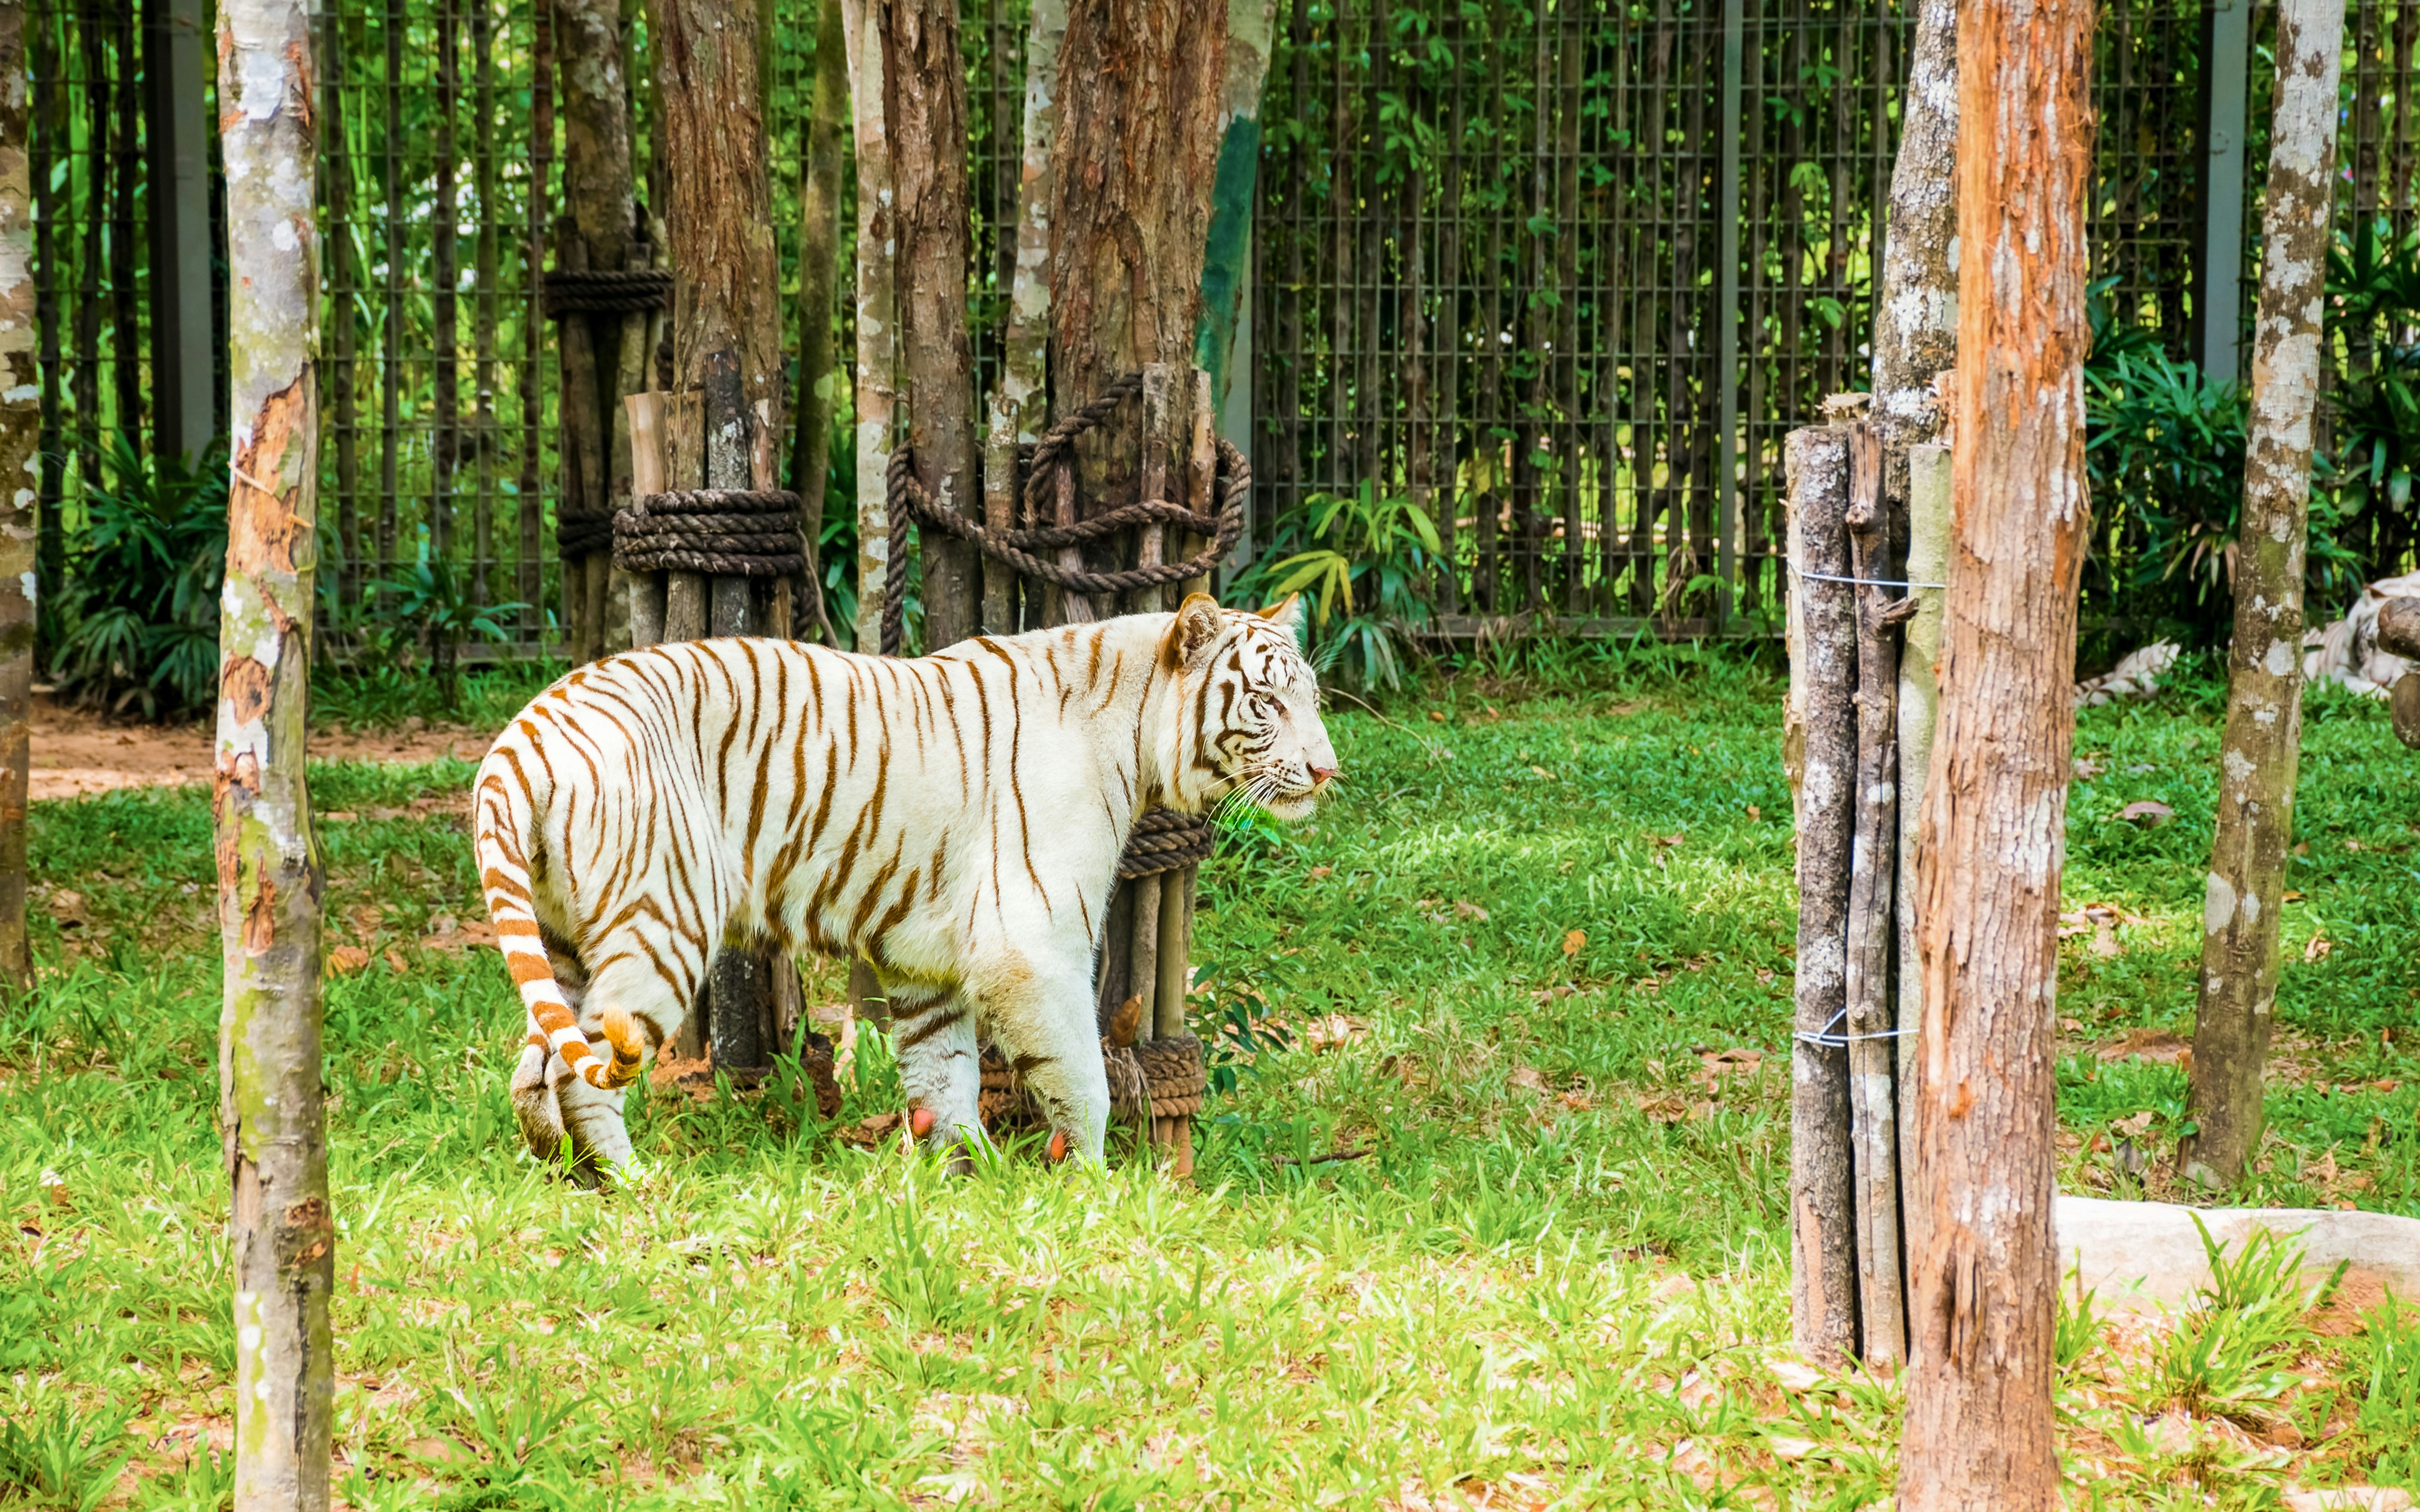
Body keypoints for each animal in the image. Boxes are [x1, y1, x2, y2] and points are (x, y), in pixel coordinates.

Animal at [473, 591, 1336, 1177]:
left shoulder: (925, 961)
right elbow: (1081, 1075)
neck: (1135, 739)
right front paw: (1092, 1184)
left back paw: (563, 1174)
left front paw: (972, 1180)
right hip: (663, 925)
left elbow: (945, 1077)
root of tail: (524, 736)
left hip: (564, 942)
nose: (1328, 770)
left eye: (1314, 698)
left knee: (533, 1071)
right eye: (1266, 702)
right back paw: (631, 1184)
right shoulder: (1030, 945)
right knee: (586, 1073)